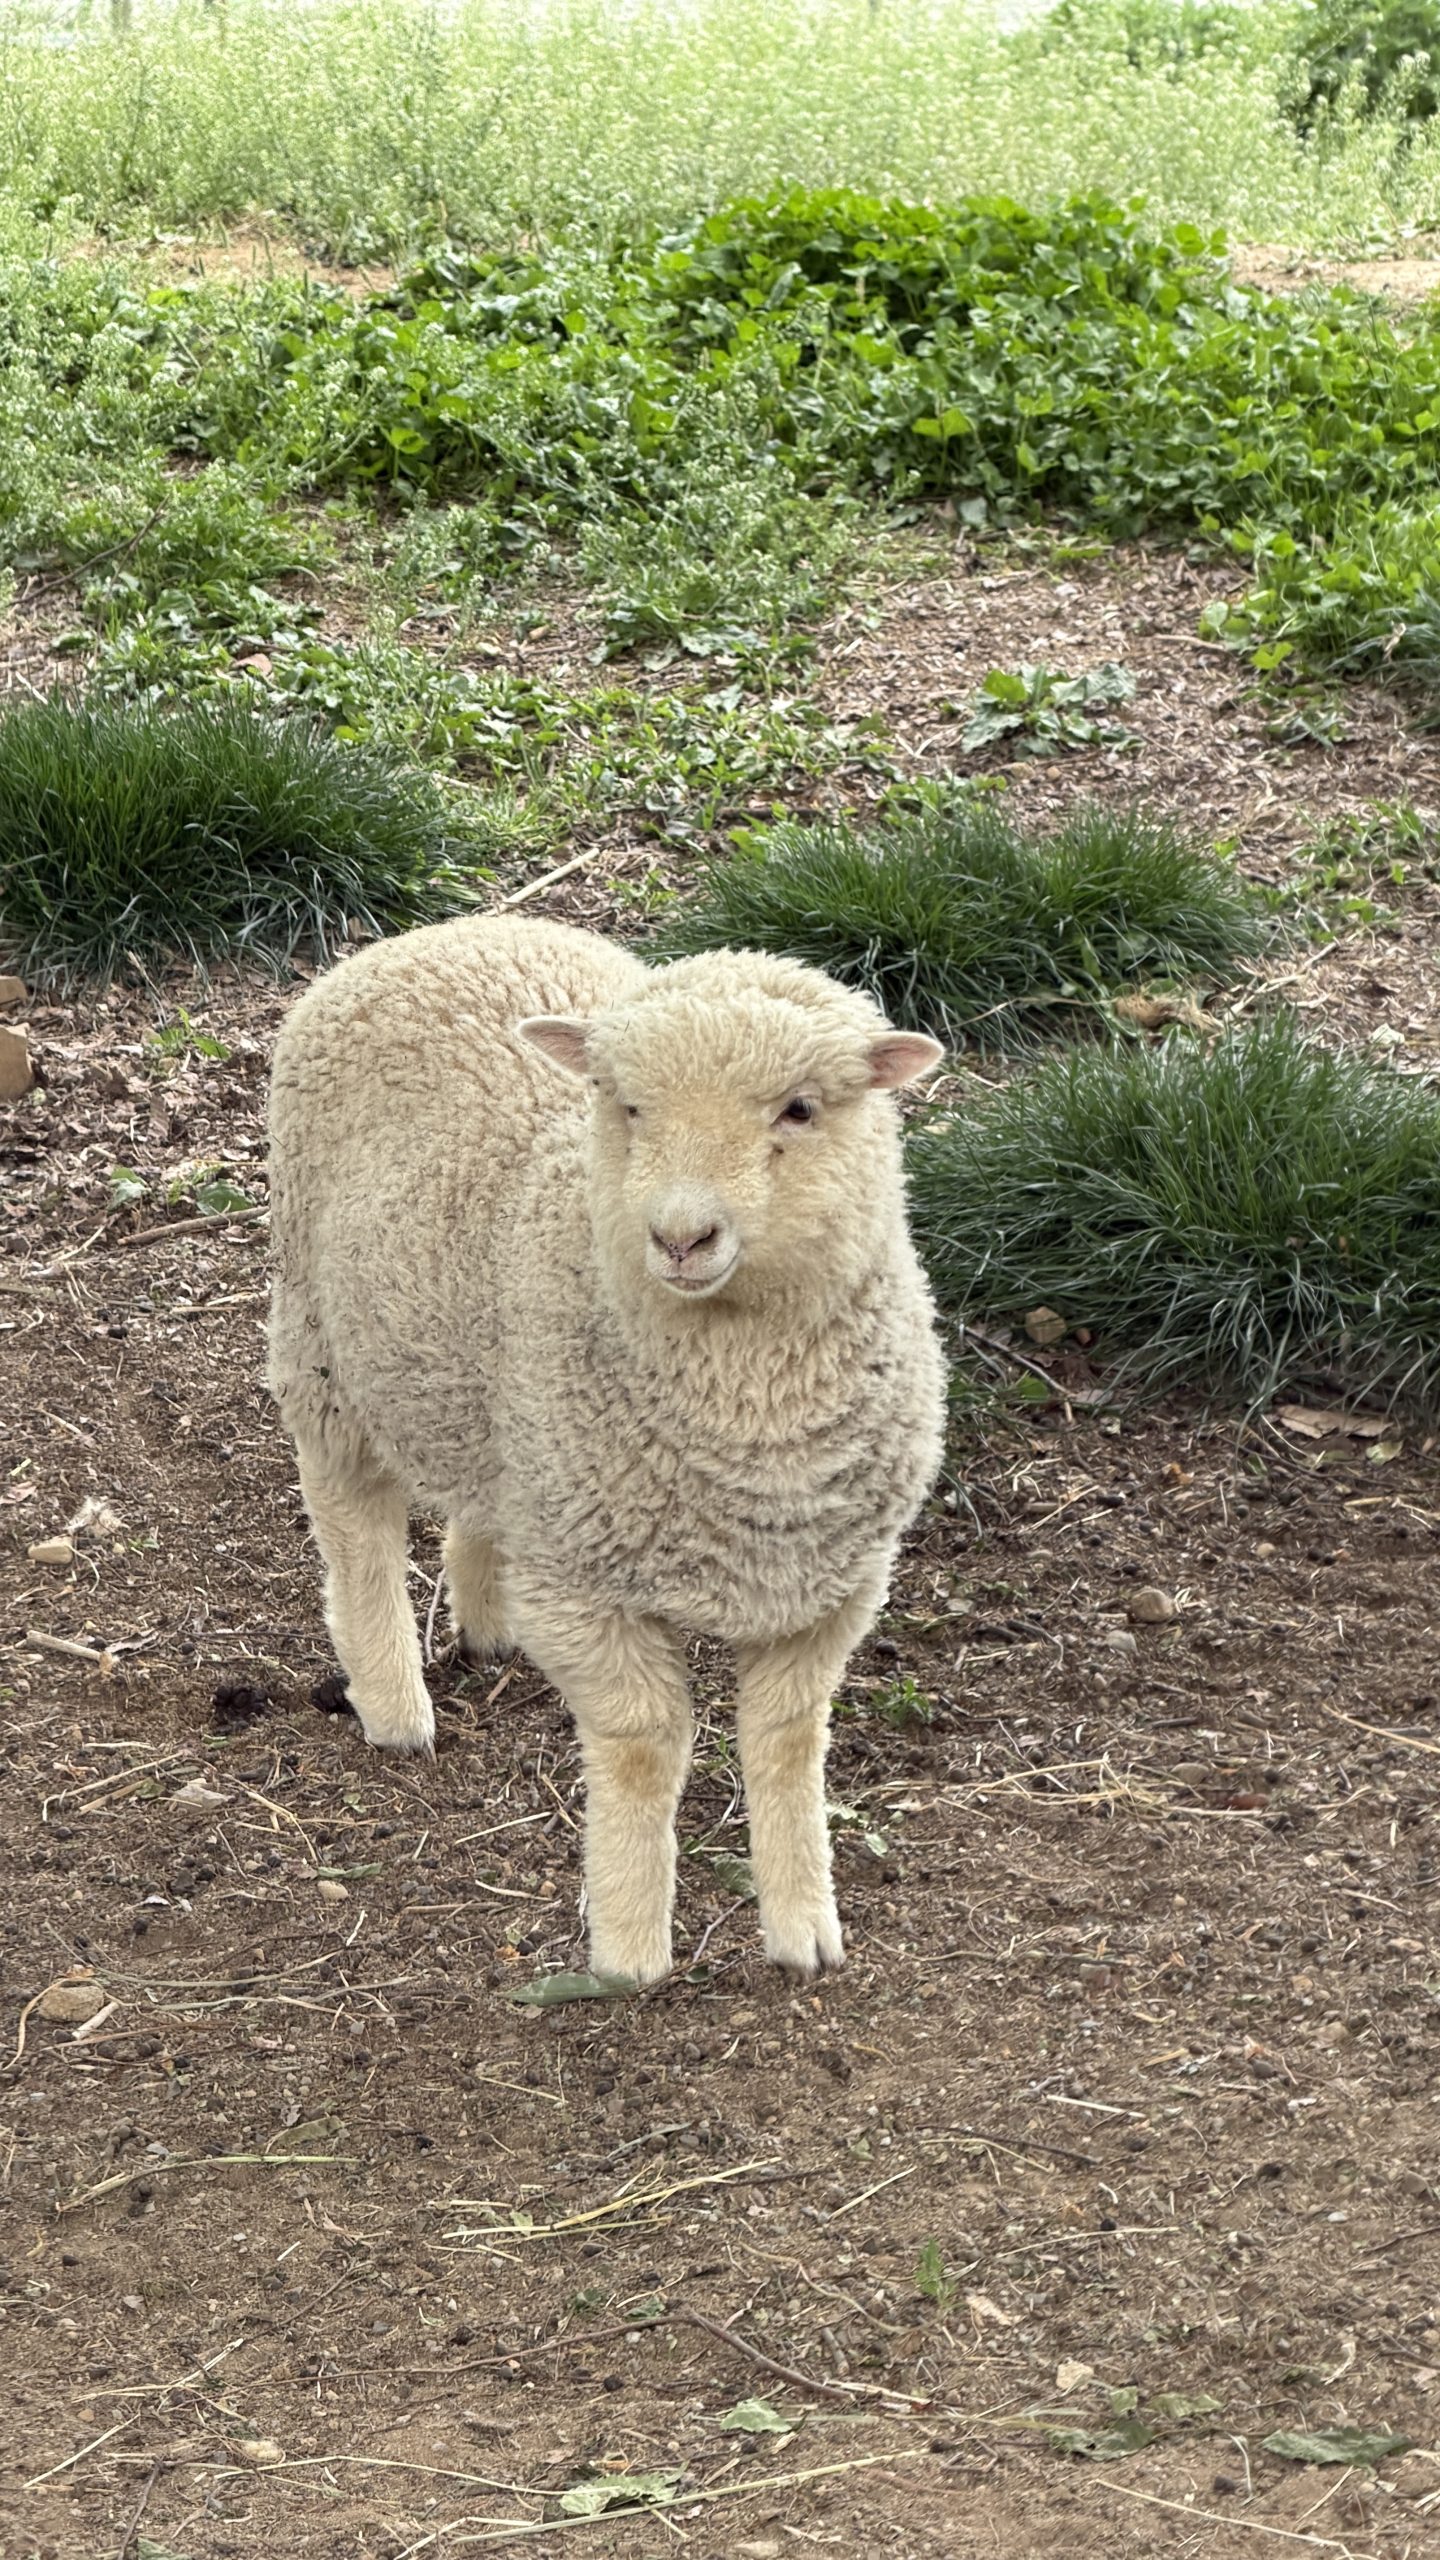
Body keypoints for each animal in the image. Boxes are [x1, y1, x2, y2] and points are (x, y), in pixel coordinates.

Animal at [267, 913, 947, 1981]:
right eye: (629, 1106)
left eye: (800, 1109)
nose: (681, 1237)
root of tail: (455, 928)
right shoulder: (584, 1587)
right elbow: (643, 1742)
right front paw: (629, 1942)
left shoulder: (829, 1587)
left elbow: (787, 1740)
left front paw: (804, 1928)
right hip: (320, 1336)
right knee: (352, 1518)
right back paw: (393, 1703)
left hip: (508, 1416)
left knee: (480, 1497)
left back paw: (486, 1618)